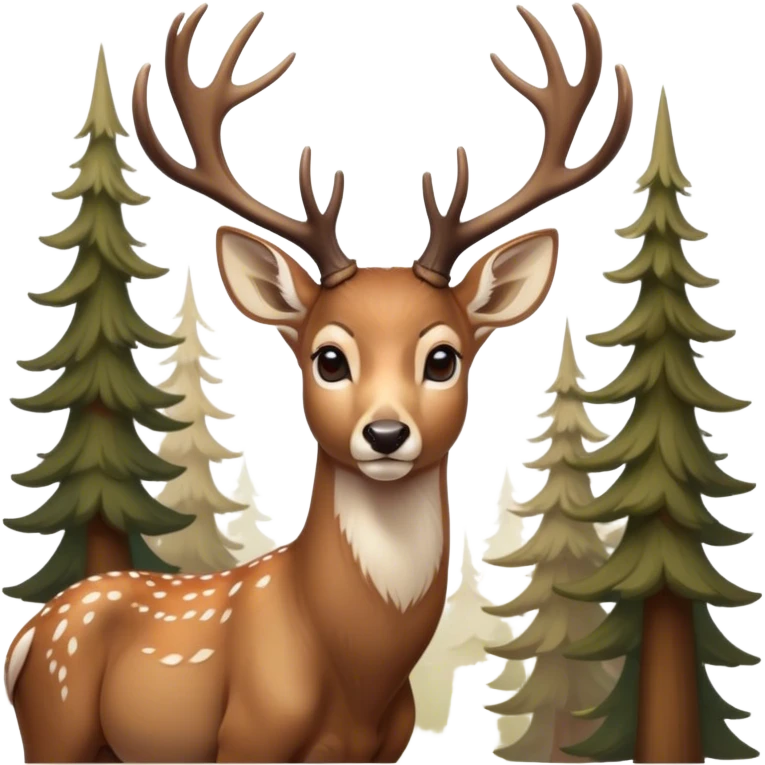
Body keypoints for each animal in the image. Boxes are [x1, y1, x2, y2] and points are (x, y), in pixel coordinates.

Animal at [4, 2, 632, 762]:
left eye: (443, 358)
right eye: (329, 358)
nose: (386, 433)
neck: (355, 674)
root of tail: (25, 637)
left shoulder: (383, 749)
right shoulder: (247, 736)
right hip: (59, 719)